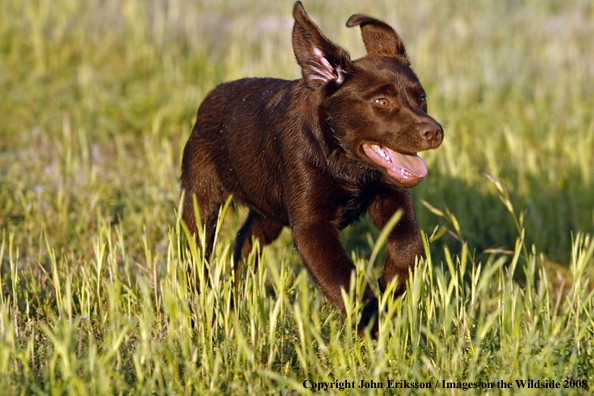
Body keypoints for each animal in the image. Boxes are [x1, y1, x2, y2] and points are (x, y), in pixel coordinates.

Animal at [179, 1, 440, 334]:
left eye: (422, 99)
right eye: (381, 102)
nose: (435, 132)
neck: (343, 162)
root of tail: (210, 99)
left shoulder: (389, 193)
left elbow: (409, 243)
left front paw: (391, 286)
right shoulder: (311, 226)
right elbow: (343, 279)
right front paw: (370, 321)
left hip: (269, 210)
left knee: (245, 241)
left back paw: (240, 294)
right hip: (202, 197)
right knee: (195, 254)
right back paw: (200, 307)